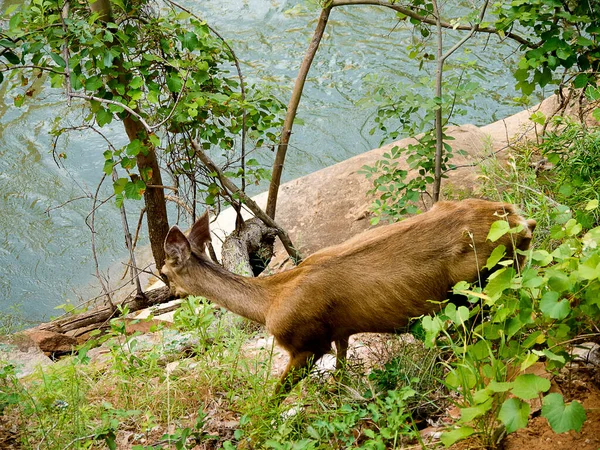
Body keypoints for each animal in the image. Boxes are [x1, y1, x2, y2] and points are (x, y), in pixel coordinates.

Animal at [162, 199, 536, 400]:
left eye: (164, 272)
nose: (171, 291)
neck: (269, 301)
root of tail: (520, 219)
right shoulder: (339, 333)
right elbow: (341, 375)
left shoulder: (306, 343)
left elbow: (274, 399)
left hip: (474, 284)